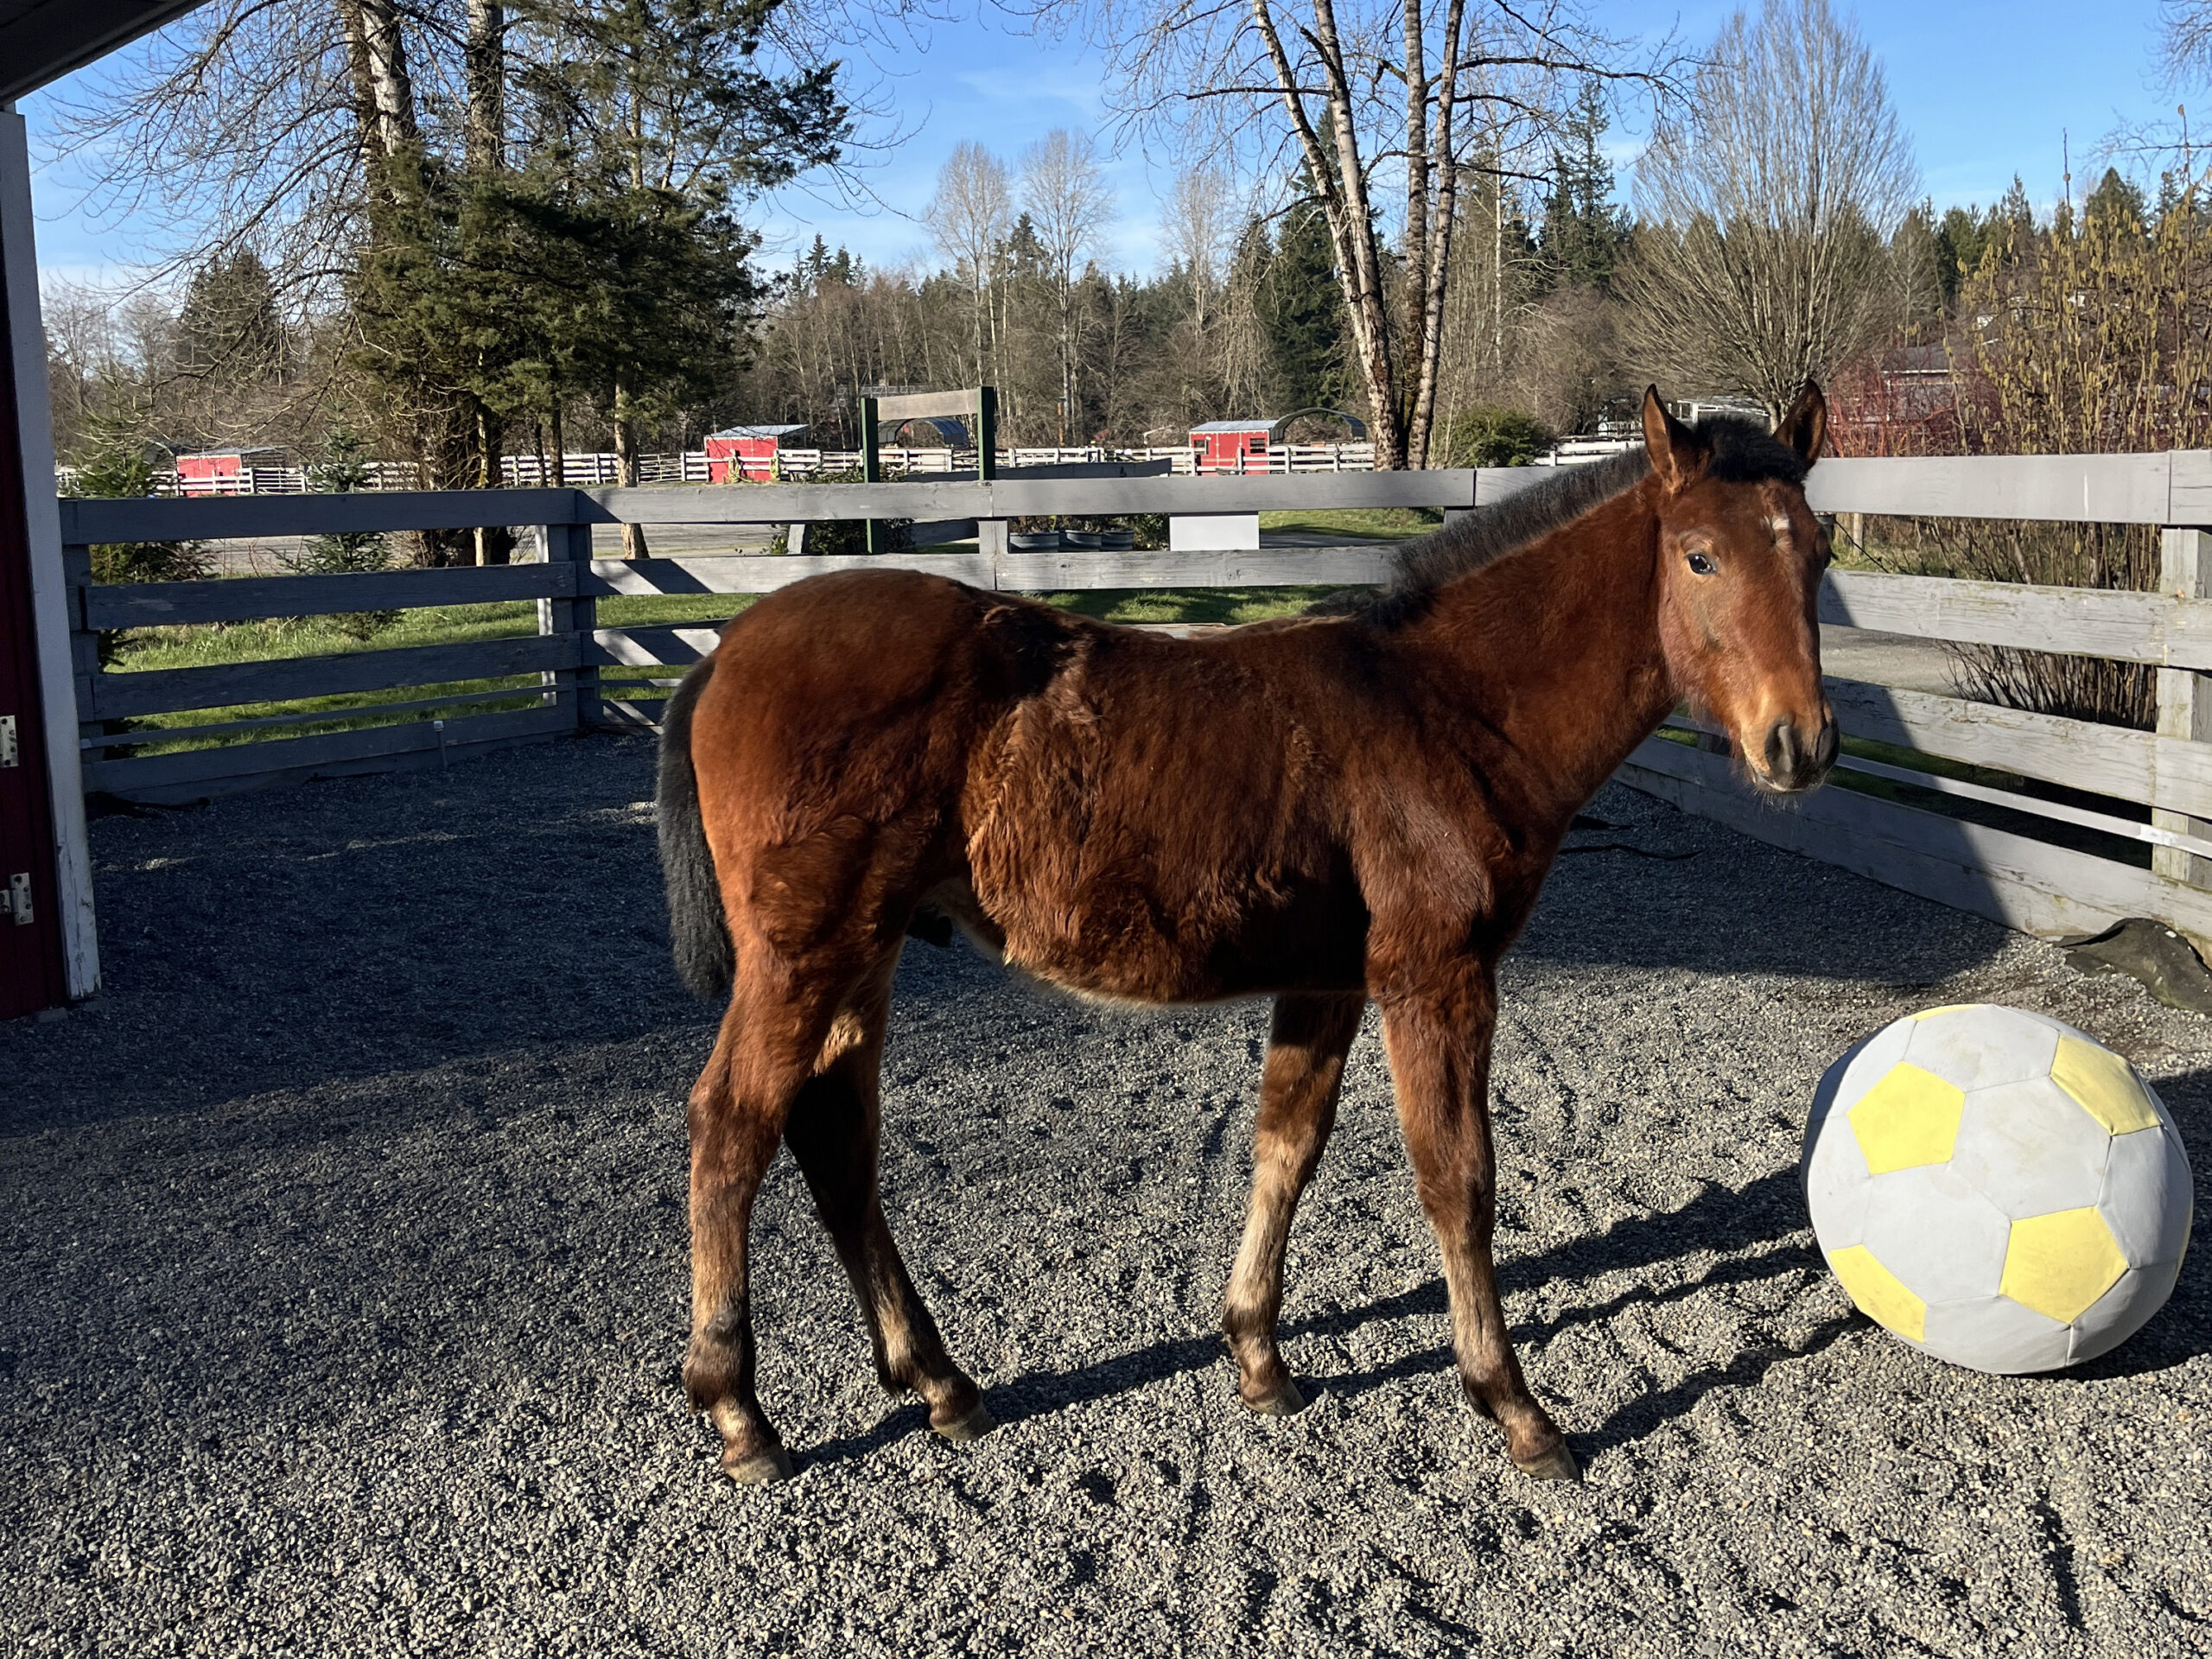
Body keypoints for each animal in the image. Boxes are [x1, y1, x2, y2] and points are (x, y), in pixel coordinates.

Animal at [655, 384, 1837, 1485]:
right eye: (1698, 557)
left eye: (1818, 551)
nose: (1800, 744)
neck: (1446, 708)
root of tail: (723, 656)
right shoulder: (1435, 975)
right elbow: (1457, 1177)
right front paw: (1513, 1406)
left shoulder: (1327, 978)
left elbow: (1287, 1144)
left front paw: (1258, 1357)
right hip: (807, 952)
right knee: (734, 1124)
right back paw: (740, 1413)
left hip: (869, 948)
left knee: (835, 1136)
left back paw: (939, 1383)